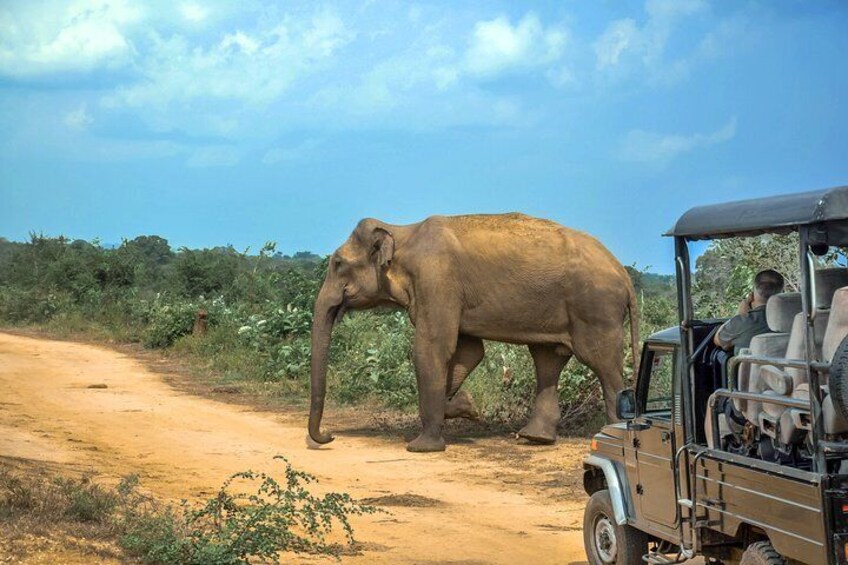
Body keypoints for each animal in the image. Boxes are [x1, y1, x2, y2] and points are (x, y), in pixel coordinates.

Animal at [308, 214, 640, 452]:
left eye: (337, 263)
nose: (329, 436)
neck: (401, 231)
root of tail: (624, 276)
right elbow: (468, 352)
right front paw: (468, 407)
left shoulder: (437, 280)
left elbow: (431, 348)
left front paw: (422, 447)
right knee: (548, 359)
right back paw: (535, 439)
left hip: (596, 308)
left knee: (602, 363)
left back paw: (610, 436)